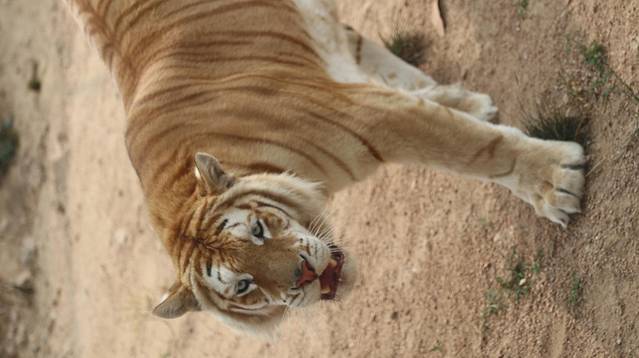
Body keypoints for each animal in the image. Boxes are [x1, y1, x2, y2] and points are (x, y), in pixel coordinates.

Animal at [63, 0, 584, 332]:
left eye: (258, 230)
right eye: (244, 285)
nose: (304, 278)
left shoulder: (372, 117)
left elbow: (475, 148)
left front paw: (556, 181)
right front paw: (463, 104)